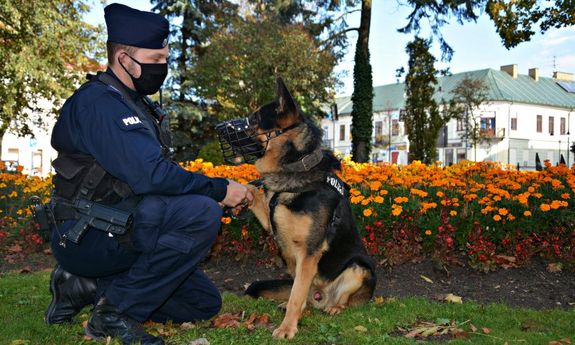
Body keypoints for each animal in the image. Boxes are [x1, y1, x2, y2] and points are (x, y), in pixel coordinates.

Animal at [218, 77, 376, 336]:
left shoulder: (308, 253)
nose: (218, 127)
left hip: (359, 267)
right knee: (304, 295)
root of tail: (321, 296)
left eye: (254, 119)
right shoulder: (272, 222)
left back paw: (335, 307)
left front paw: (287, 329)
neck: (296, 167)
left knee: (339, 299)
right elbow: (254, 191)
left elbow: (296, 295)